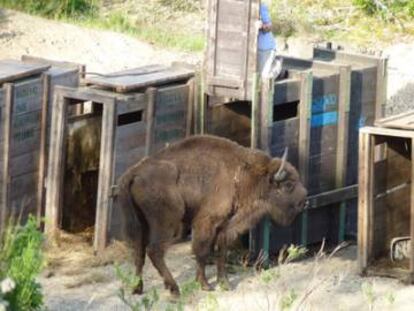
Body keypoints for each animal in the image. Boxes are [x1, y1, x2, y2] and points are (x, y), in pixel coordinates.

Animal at [116, 135, 308, 296]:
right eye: (289, 185)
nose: (304, 201)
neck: (241, 173)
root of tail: (134, 173)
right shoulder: (207, 222)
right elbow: (202, 251)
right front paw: (205, 285)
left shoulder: (225, 226)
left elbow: (220, 251)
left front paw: (225, 283)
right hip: (165, 223)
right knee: (154, 251)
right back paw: (174, 289)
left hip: (140, 223)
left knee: (139, 252)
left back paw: (137, 288)